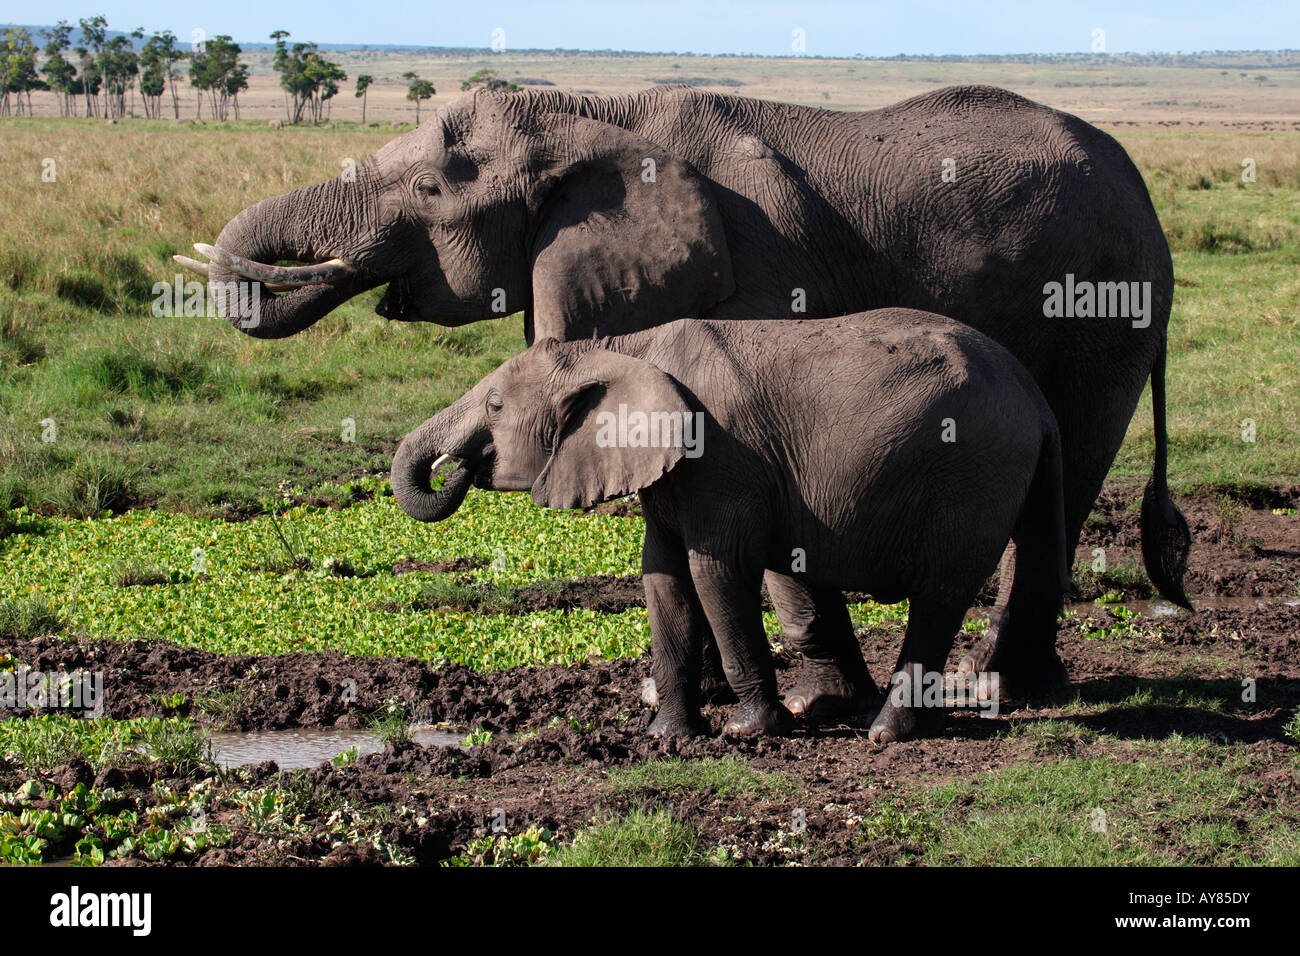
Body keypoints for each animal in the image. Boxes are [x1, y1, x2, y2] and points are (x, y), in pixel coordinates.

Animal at [387, 310, 1066, 743]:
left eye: (495, 405)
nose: (459, 465)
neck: (621, 347)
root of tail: (1037, 399)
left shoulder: (720, 458)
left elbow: (715, 573)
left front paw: (749, 730)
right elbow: (662, 580)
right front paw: (666, 738)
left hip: (974, 474)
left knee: (939, 596)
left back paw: (885, 734)